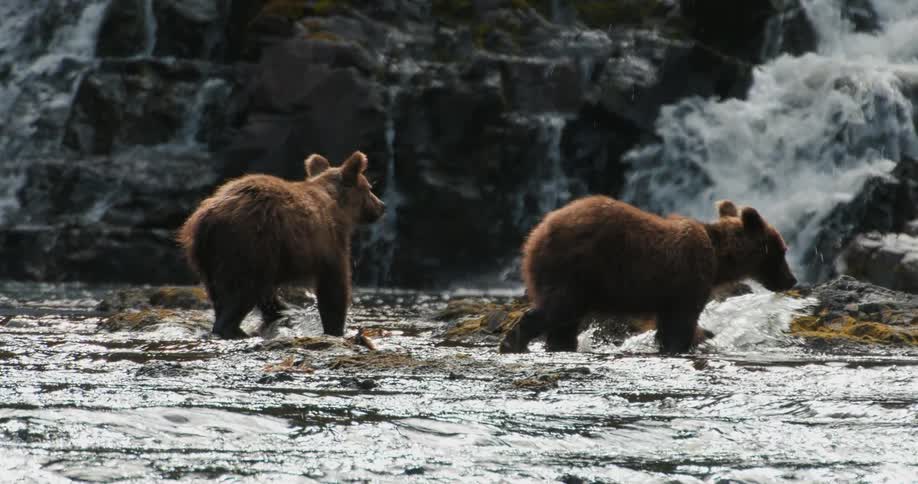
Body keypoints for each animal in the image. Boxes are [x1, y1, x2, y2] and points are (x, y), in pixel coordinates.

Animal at [177, 151, 385, 339]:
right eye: (369, 188)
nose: (382, 206)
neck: (340, 208)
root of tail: (207, 217)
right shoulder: (329, 242)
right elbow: (334, 287)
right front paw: (336, 329)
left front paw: (282, 311)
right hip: (248, 243)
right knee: (243, 292)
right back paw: (234, 330)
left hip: (207, 256)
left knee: (220, 294)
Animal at [499, 196, 797, 354]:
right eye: (781, 250)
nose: (791, 280)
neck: (719, 257)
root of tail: (535, 234)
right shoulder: (688, 281)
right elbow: (681, 324)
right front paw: (686, 344)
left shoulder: (669, 296)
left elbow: (669, 326)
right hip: (576, 269)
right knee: (558, 309)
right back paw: (514, 343)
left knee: (565, 322)